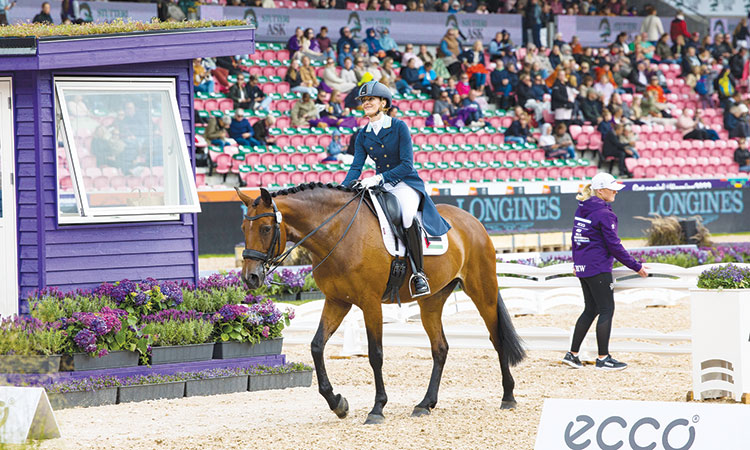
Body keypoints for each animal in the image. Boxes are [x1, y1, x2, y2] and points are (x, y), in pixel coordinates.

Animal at [238, 182, 524, 422]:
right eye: (243, 229)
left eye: (265, 229)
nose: (250, 277)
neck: (338, 233)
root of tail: (472, 220)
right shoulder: (337, 301)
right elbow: (317, 346)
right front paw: (338, 403)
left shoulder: (370, 303)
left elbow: (375, 354)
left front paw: (377, 408)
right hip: (431, 301)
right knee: (440, 348)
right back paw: (425, 404)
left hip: (482, 290)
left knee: (496, 338)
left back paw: (508, 397)